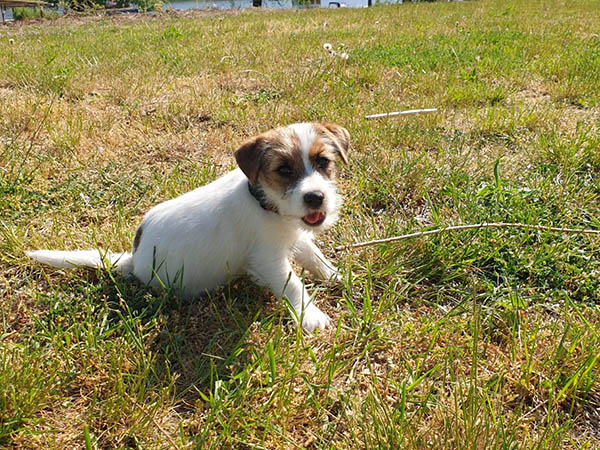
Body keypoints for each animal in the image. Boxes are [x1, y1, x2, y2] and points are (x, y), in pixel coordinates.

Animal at [27, 122, 349, 332]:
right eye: (283, 170)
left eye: (323, 162)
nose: (316, 197)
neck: (263, 201)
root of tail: (134, 259)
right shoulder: (268, 258)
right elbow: (292, 283)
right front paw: (311, 315)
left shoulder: (294, 236)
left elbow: (313, 254)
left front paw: (333, 275)